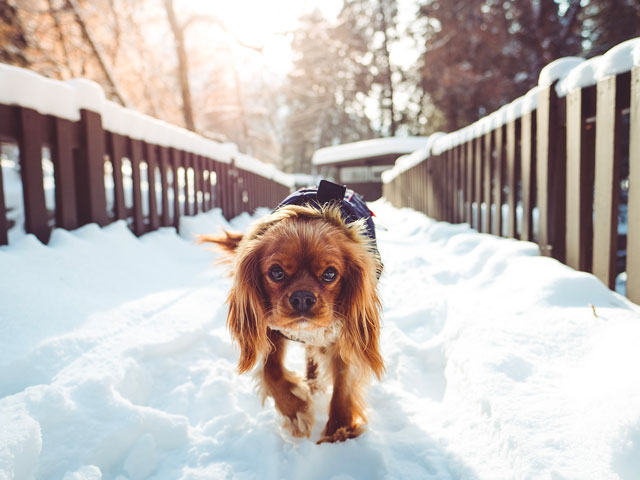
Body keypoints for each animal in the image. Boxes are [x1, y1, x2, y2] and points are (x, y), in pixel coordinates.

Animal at [200, 182, 382, 444]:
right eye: (276, 273)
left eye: (330, 274)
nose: (302, 297)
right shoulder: (271, 331)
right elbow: (271, 372)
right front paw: (296, 411)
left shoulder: (343, 336)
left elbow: (343, 383)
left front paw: (339, 431)